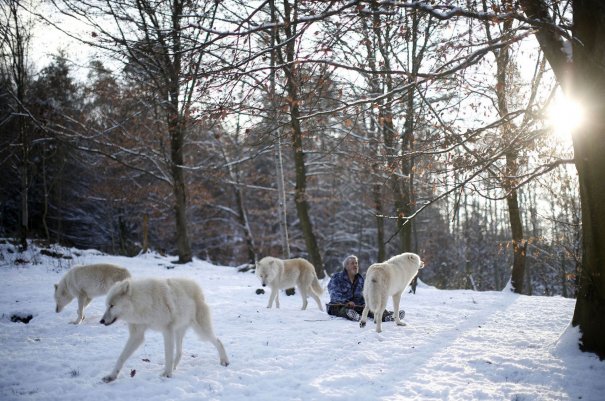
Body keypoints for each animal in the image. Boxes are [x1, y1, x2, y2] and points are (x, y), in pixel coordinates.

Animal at [100, 276, 228, 382]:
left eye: (112, 306)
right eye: (107, 305)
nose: (101, 321)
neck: (143, 303)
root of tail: (198, 288)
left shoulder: (167, 331)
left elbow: (167, 355)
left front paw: (167, 374)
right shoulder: (137, 335)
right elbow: (121, 357)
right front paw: (111, 376)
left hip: (201, 332)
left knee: (218, 341)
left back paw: (224, 361)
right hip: (178, 332)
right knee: (180, 352)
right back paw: (174, 367)